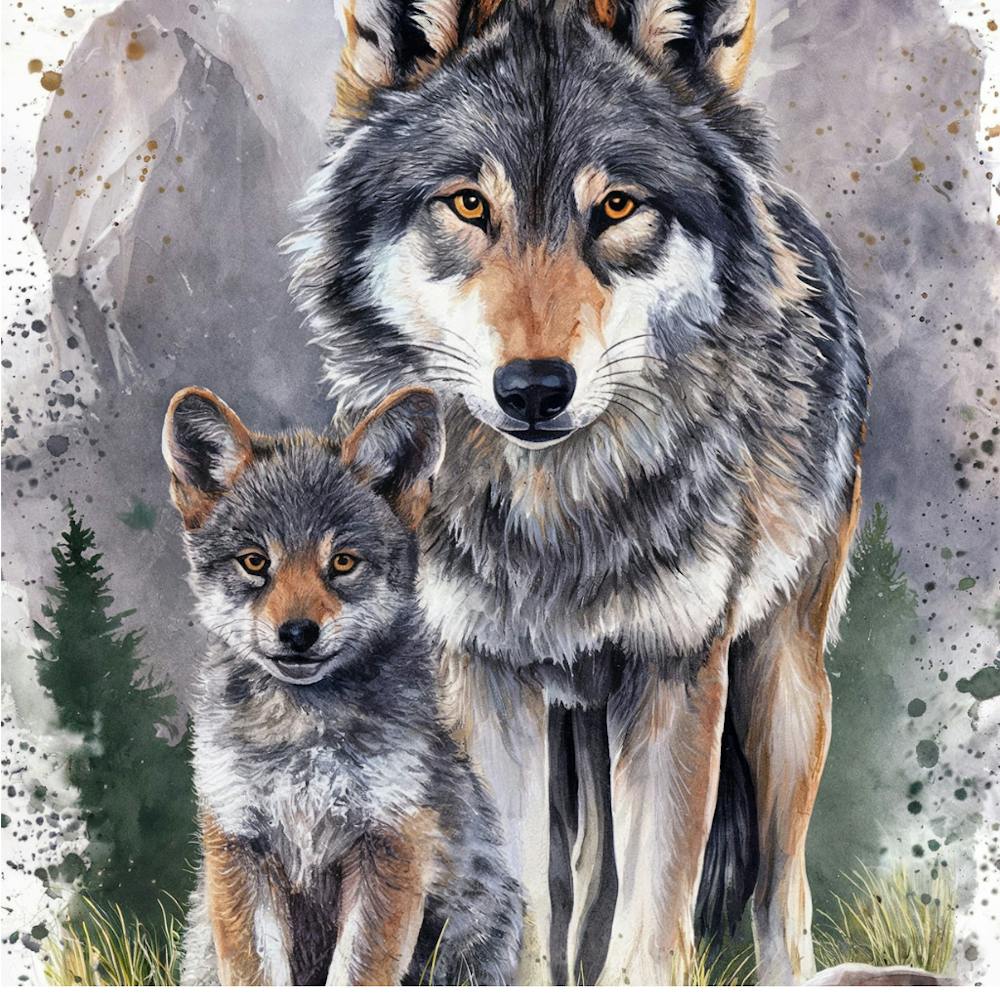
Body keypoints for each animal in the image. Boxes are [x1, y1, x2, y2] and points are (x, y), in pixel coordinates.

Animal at [163, 386, 522, 986]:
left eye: (343, 562)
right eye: (255, 562)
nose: (297, 633)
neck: (302, 738)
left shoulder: (390, 845)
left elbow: (358, 970)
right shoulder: (239, 845)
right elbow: (257, 972)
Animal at [289, 0, 869, 986]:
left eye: (618, 206)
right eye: (469, 204)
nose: (533, 389)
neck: (558, 517)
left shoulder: (679, 672)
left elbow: (655, 920)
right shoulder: (484, 674)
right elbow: (525, 905)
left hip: (779, 689)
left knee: (780, 889)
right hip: (580, 731)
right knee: (585, 884)